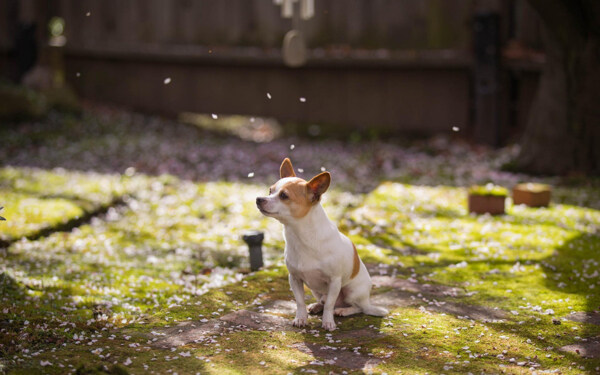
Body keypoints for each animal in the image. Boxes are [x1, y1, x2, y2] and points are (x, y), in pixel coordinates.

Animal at [254, 157, 386, 330]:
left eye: (283, 195)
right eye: (270, 191)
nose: (258, 199)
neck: (301, 236)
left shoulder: (335, 281)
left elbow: (330, 305)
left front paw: (328, 322)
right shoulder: (294, 279)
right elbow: (300, 301)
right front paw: (301, 318)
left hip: (352, 291)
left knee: (357, 307)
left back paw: (343, 310)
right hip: (316, 290)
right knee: (324, 300)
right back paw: (317, 306)